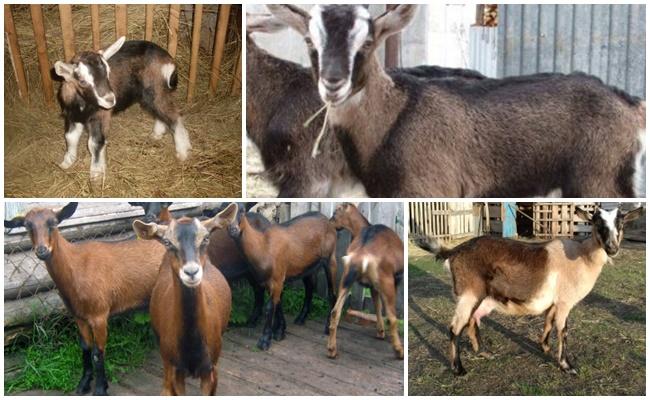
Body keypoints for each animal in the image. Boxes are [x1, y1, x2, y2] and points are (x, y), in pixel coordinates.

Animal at [3, 202, 165, 396]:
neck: (77, 266)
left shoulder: (99, 315)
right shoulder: (79, 316)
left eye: (53, 223)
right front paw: (84, 384)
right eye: (27, 226)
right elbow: (85, 348)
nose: (42, 251)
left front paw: (101, 389)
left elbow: (98, 352)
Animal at [228, 211, 336, 348]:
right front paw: (279, 332)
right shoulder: (271, 280)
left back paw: (328, 327)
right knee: (310, 287)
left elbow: (270, 307)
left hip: (330, 258)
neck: (264, 246)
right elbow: (278, 303)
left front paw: (265, 340)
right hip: (307, 265)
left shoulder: (277, 278)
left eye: (241, 212)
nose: (233, 230)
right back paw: (301, 318)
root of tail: (326, 219)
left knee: (332, 292)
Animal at [326, 203, 402, 360]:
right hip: (386, 282)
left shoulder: (372, 286)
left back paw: (331, 350)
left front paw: (380, 331)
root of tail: (361, 255)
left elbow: (377, 305)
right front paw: (381, 332)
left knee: (335, 311)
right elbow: (380, 307)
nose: (329, 223)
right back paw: (399, 351)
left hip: (346, 278)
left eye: (336, 212)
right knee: (392, 317)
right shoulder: (391, 281)